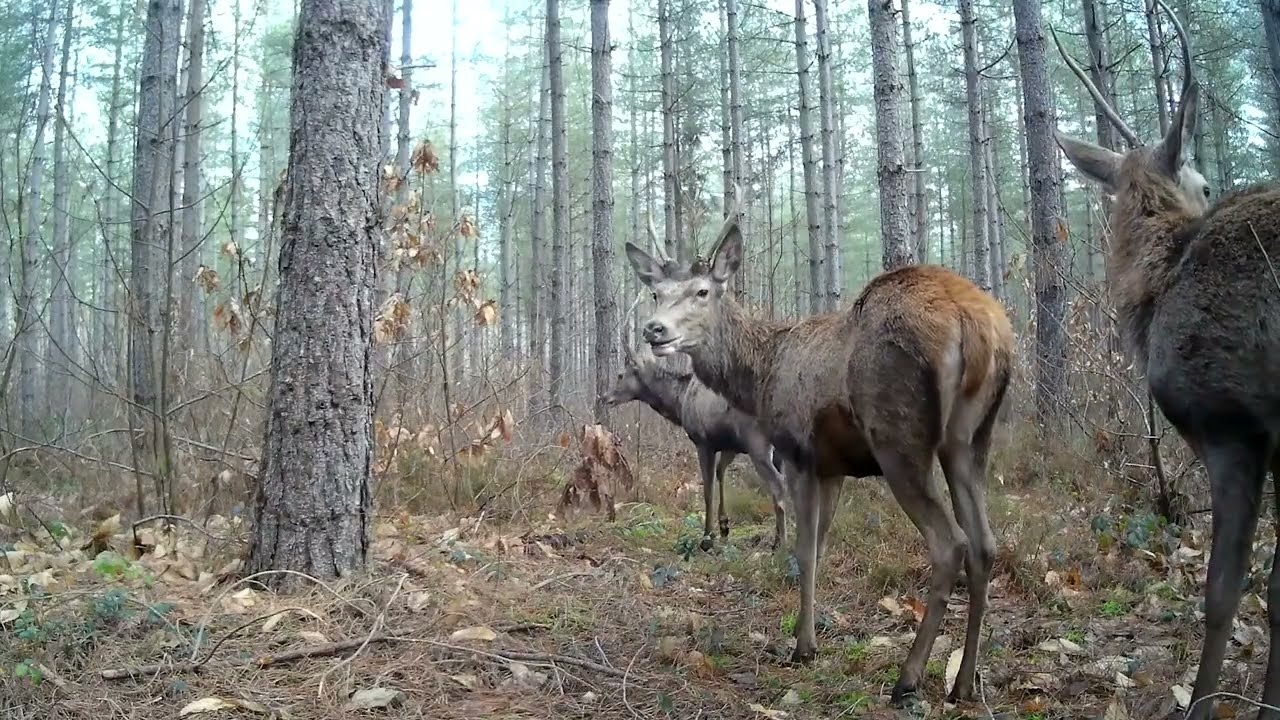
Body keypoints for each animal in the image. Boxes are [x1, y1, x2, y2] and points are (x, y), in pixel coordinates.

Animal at [601, 341, 789, 551]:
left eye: (620, 375)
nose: (605, 397)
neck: (679, 400)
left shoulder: (703, 442)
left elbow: (707, 490)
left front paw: (707, 537)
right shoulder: (729, 445)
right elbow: (720, 473)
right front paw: (724, 527)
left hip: (758, 444)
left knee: (779, 484)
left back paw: (782, 544)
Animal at [625, 201, 1014, 705]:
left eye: (703, 290)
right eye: (656, 293)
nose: (655, 330)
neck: (763, 372)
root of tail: (976, 325)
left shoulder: (798, 453)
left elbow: (804, 549)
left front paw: (802, 646)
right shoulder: (834, 468)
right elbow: (823, 546)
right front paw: (812, 631)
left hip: (898, 438)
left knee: (951, 543)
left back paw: (907, 677)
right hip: (970, 440)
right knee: (984, 544)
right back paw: (963, 683)